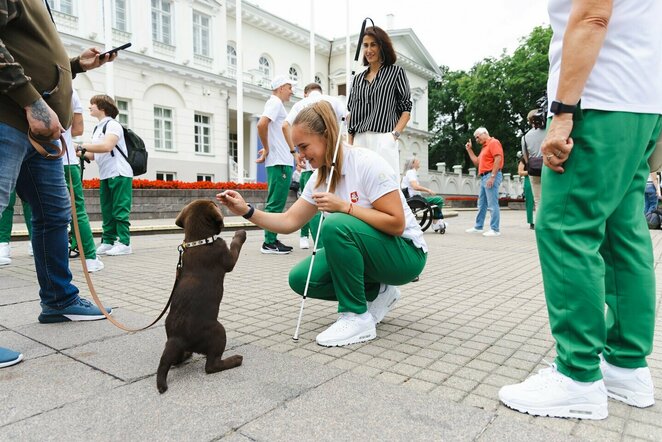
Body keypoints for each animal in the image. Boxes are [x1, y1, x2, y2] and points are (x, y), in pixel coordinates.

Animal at [158, 200, 246, 394]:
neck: (198, 241)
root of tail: (177, 338)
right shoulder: (227, 257)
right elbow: (235, 245)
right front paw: (240, 233)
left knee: (175, 359)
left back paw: (185, 355)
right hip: (219, 332)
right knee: (211, 366)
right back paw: (235, 360)